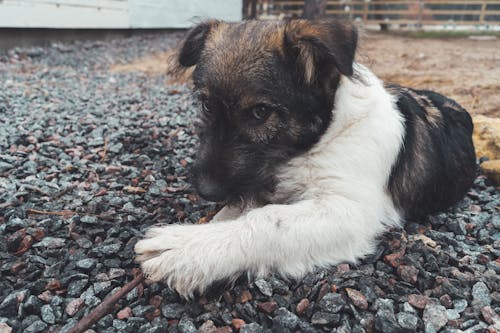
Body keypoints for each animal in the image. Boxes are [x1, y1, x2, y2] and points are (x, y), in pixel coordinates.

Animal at [134, 19, 476, 296]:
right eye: (205, 105)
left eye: (260, 112)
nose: (206, 190)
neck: (323, 138)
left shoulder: (350, 210)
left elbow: (268, 220)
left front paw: (187, 248)